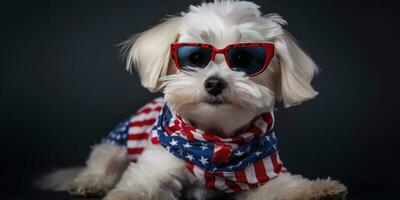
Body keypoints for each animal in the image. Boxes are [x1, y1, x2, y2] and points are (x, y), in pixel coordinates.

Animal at [38, 0, 346, 199]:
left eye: (245, 59)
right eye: (195, 57)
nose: (215, 83)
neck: (214, 140)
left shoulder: (259, 172)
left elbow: (286, 188)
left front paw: (319, 189)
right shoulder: (155, 166)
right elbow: (135, 188)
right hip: (115, 145)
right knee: (101, 164)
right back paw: (90, 182)